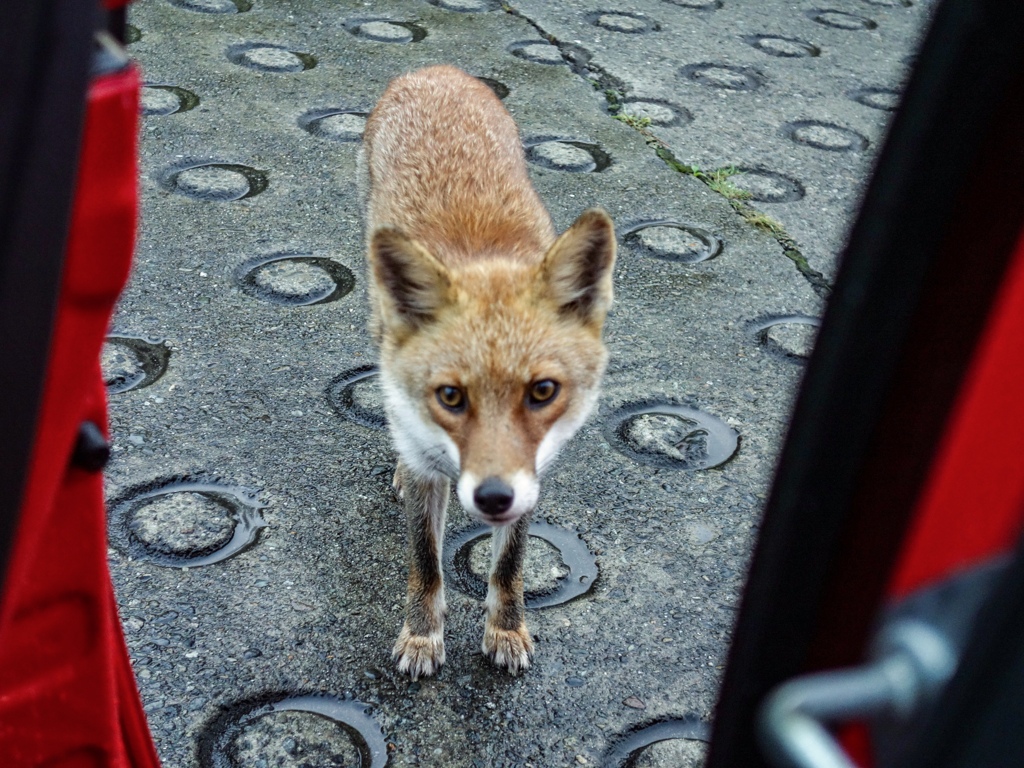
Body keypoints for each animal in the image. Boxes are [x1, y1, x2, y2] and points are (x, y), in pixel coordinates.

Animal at [362, 66, 614, 679]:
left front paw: (506, 628)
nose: (493, 498)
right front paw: (422, 635)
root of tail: (437, 71)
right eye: (450, 396)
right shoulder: (431, 465)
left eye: (543, 391)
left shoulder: (531, 471)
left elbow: (509, 564)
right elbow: (426, 564)